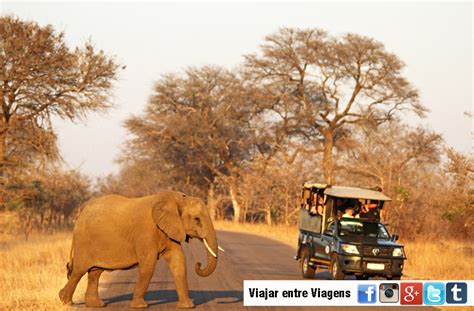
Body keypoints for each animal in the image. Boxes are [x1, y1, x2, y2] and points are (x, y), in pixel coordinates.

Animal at [58, 191, 219, 308]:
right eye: (197, 219)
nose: (198, 264)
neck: (176, 198)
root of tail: (80, 216)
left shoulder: (170, 230)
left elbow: (178, 261)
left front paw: (187, 306)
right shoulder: (146, 231)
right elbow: (148, 264)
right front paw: (140, 306)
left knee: (95, 273)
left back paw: (96, 305)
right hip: (84, 242)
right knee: (79, 271)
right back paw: (65, 301)